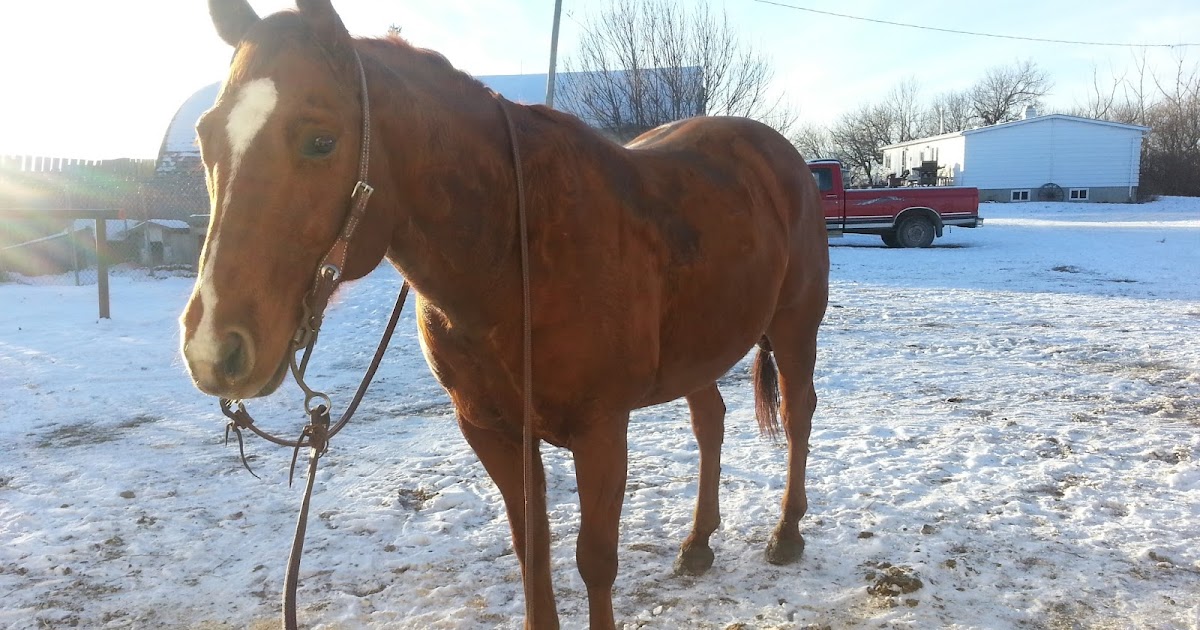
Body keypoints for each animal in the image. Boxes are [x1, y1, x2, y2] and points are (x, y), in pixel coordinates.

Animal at [181, 1, 829, 627]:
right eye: (205, 138)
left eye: (321, 140)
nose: (213, 347)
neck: (513, 251)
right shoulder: (491, 431)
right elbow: (531, 553)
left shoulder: (601, 429)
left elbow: (595, 561)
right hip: (698, 350)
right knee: (710, 422)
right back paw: (697, 544)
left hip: (795, 327)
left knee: (797, 414)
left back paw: (787, 534)